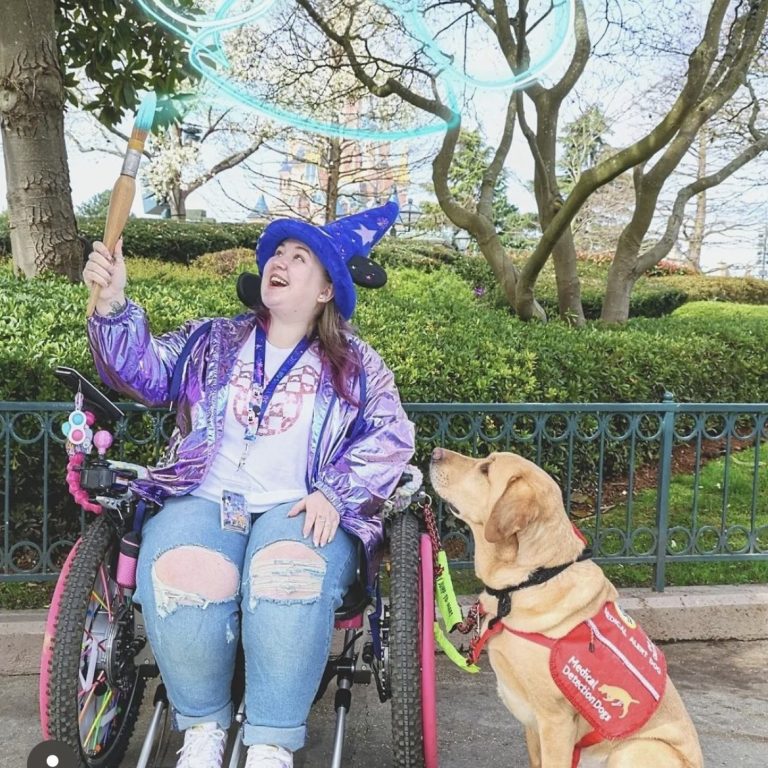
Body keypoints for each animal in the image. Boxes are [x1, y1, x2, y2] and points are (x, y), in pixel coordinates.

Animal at [428, 448, 704, 768]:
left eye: (485, 469)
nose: (435, 453)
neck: (531, 578)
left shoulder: (555, 721)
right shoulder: (533, 725)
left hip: (633, 749)